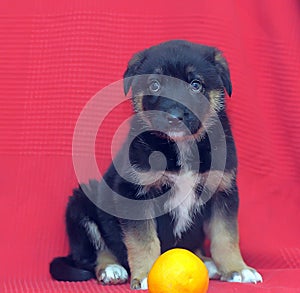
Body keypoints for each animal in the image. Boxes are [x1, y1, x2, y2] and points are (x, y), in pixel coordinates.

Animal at [49, 39, 262, 288]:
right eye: (155, 85)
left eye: (196, 85)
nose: (174, 117)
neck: (182, 145)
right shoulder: (135, 192)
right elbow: (144, 241)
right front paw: (145, 276)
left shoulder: (222, 190)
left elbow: (226, 237)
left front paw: (238, 269)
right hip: (81, 201)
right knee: (96, 252)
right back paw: (111, 269)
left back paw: (206, 262)